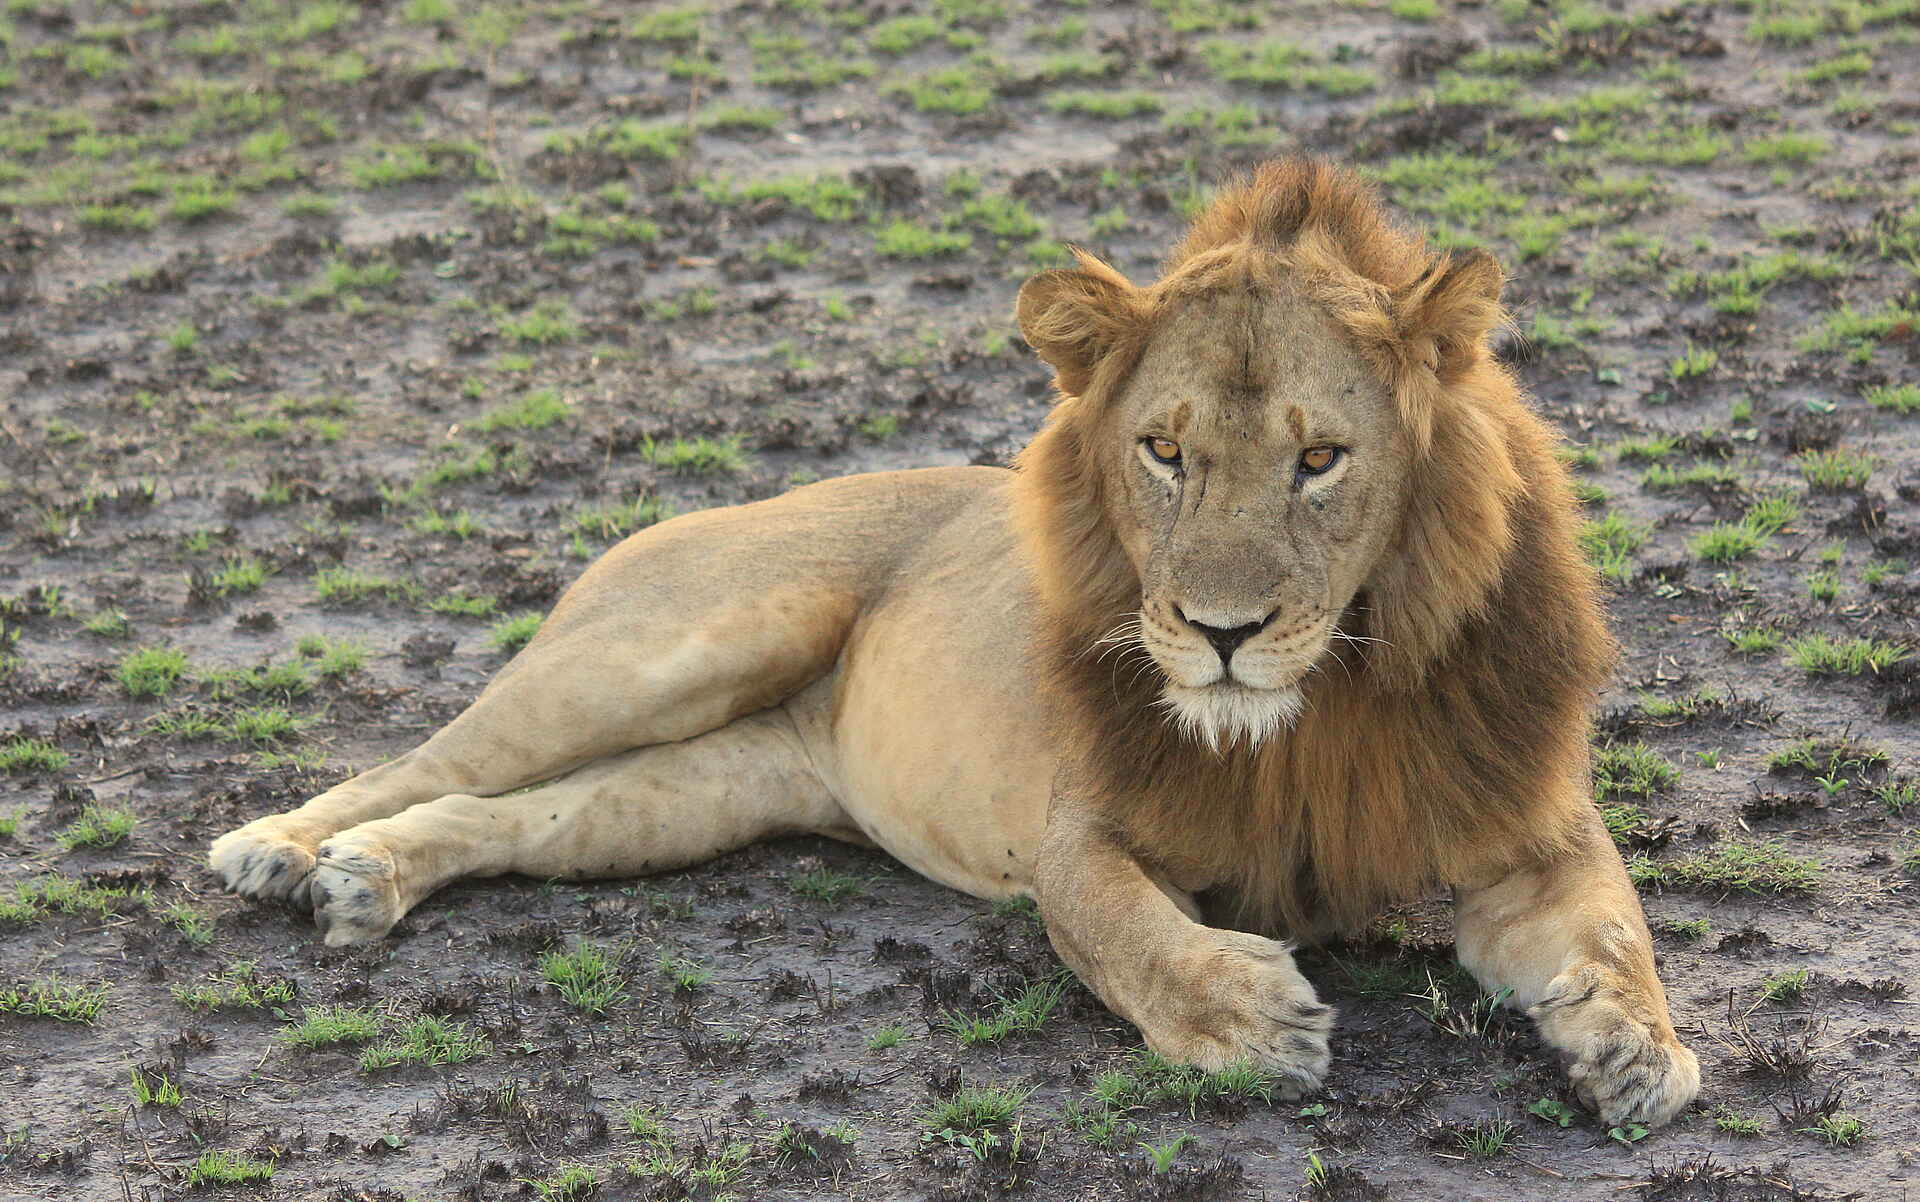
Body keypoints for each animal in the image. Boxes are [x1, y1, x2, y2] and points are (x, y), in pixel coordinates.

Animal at [211, 157, 1699, 1125]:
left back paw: (371, 877)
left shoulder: (1527, 821)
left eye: (1321, 459)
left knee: (513, 810)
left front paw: (1636, 1043)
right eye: (1165, 452)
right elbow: (1117, 929)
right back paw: (279, 849)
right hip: (670, 647)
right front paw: (1243, 1014)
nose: (1219, 633)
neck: (1317, 710)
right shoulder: (1080, 826)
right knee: (425, 757)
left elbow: (1615, 922)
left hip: (698, 789)